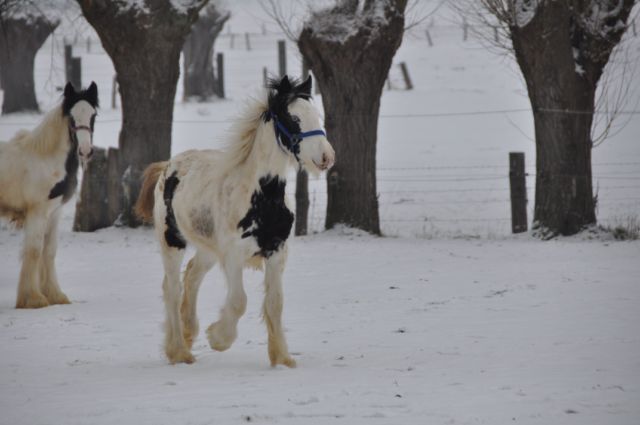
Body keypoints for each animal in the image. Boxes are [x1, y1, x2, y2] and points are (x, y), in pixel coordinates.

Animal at [0, 82, 99, 308]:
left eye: (93, 115)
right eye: (71, 117)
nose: (85, 151)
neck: (45, 159)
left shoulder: (54, 213)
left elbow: (49, 251)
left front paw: (55, 295)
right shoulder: (37, 212)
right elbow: (35, 250)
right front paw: (33, 299)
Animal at [135, 75, 336, 364]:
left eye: (317, 115)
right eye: (294, 118)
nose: (326, 157)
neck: (262, 198)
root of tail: (167, 166)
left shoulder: (277, 252)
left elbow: (275, 303)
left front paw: (282, 358)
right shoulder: (233, 256)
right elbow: (239, 301)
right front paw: (218, 339)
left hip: (208, 249)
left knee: (192, 275)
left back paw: (189, 332)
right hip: (171, 241)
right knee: (172, 289)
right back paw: (179, 351)